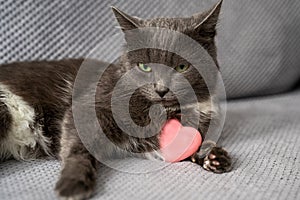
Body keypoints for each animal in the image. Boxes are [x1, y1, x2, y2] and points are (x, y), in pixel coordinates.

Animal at [0, 0, 232, 199]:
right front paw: (73, 183)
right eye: (145, 67)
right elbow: (77, 146)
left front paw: (213, 156)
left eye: (182, 67)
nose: (161, 89)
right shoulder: (87, 107)